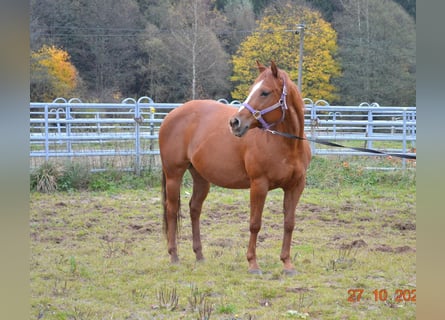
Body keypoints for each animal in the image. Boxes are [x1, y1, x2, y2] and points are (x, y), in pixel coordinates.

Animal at [159, 60, 308, 276]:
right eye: (252, 90)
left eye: (264, 92)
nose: (235, 122)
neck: (288, 144)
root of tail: (170, 116)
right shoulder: (259, 185)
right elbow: (255, 224)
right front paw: (253, 264)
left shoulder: (295, 186)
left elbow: (289, 223)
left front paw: (287, 264)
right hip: (173, 175)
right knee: (171, 210)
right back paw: (174, 256)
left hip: (201, 178)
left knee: (195, 209)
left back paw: (199, 255)